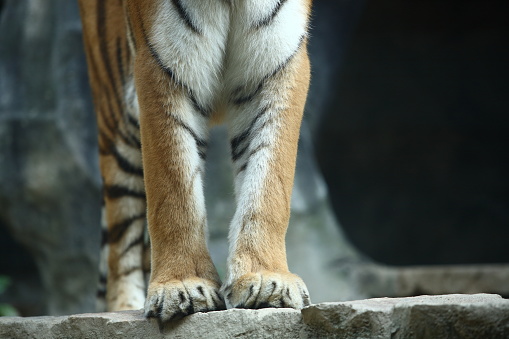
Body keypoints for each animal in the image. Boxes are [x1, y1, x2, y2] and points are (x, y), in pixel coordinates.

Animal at [78, 0, 312, 324]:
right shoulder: (162, 63)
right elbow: (174, 192)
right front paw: (183, 284)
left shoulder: (277, 65)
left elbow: (268, 185)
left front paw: (266, 278)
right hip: (117, 110)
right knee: (120, 235)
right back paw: (123, 307)